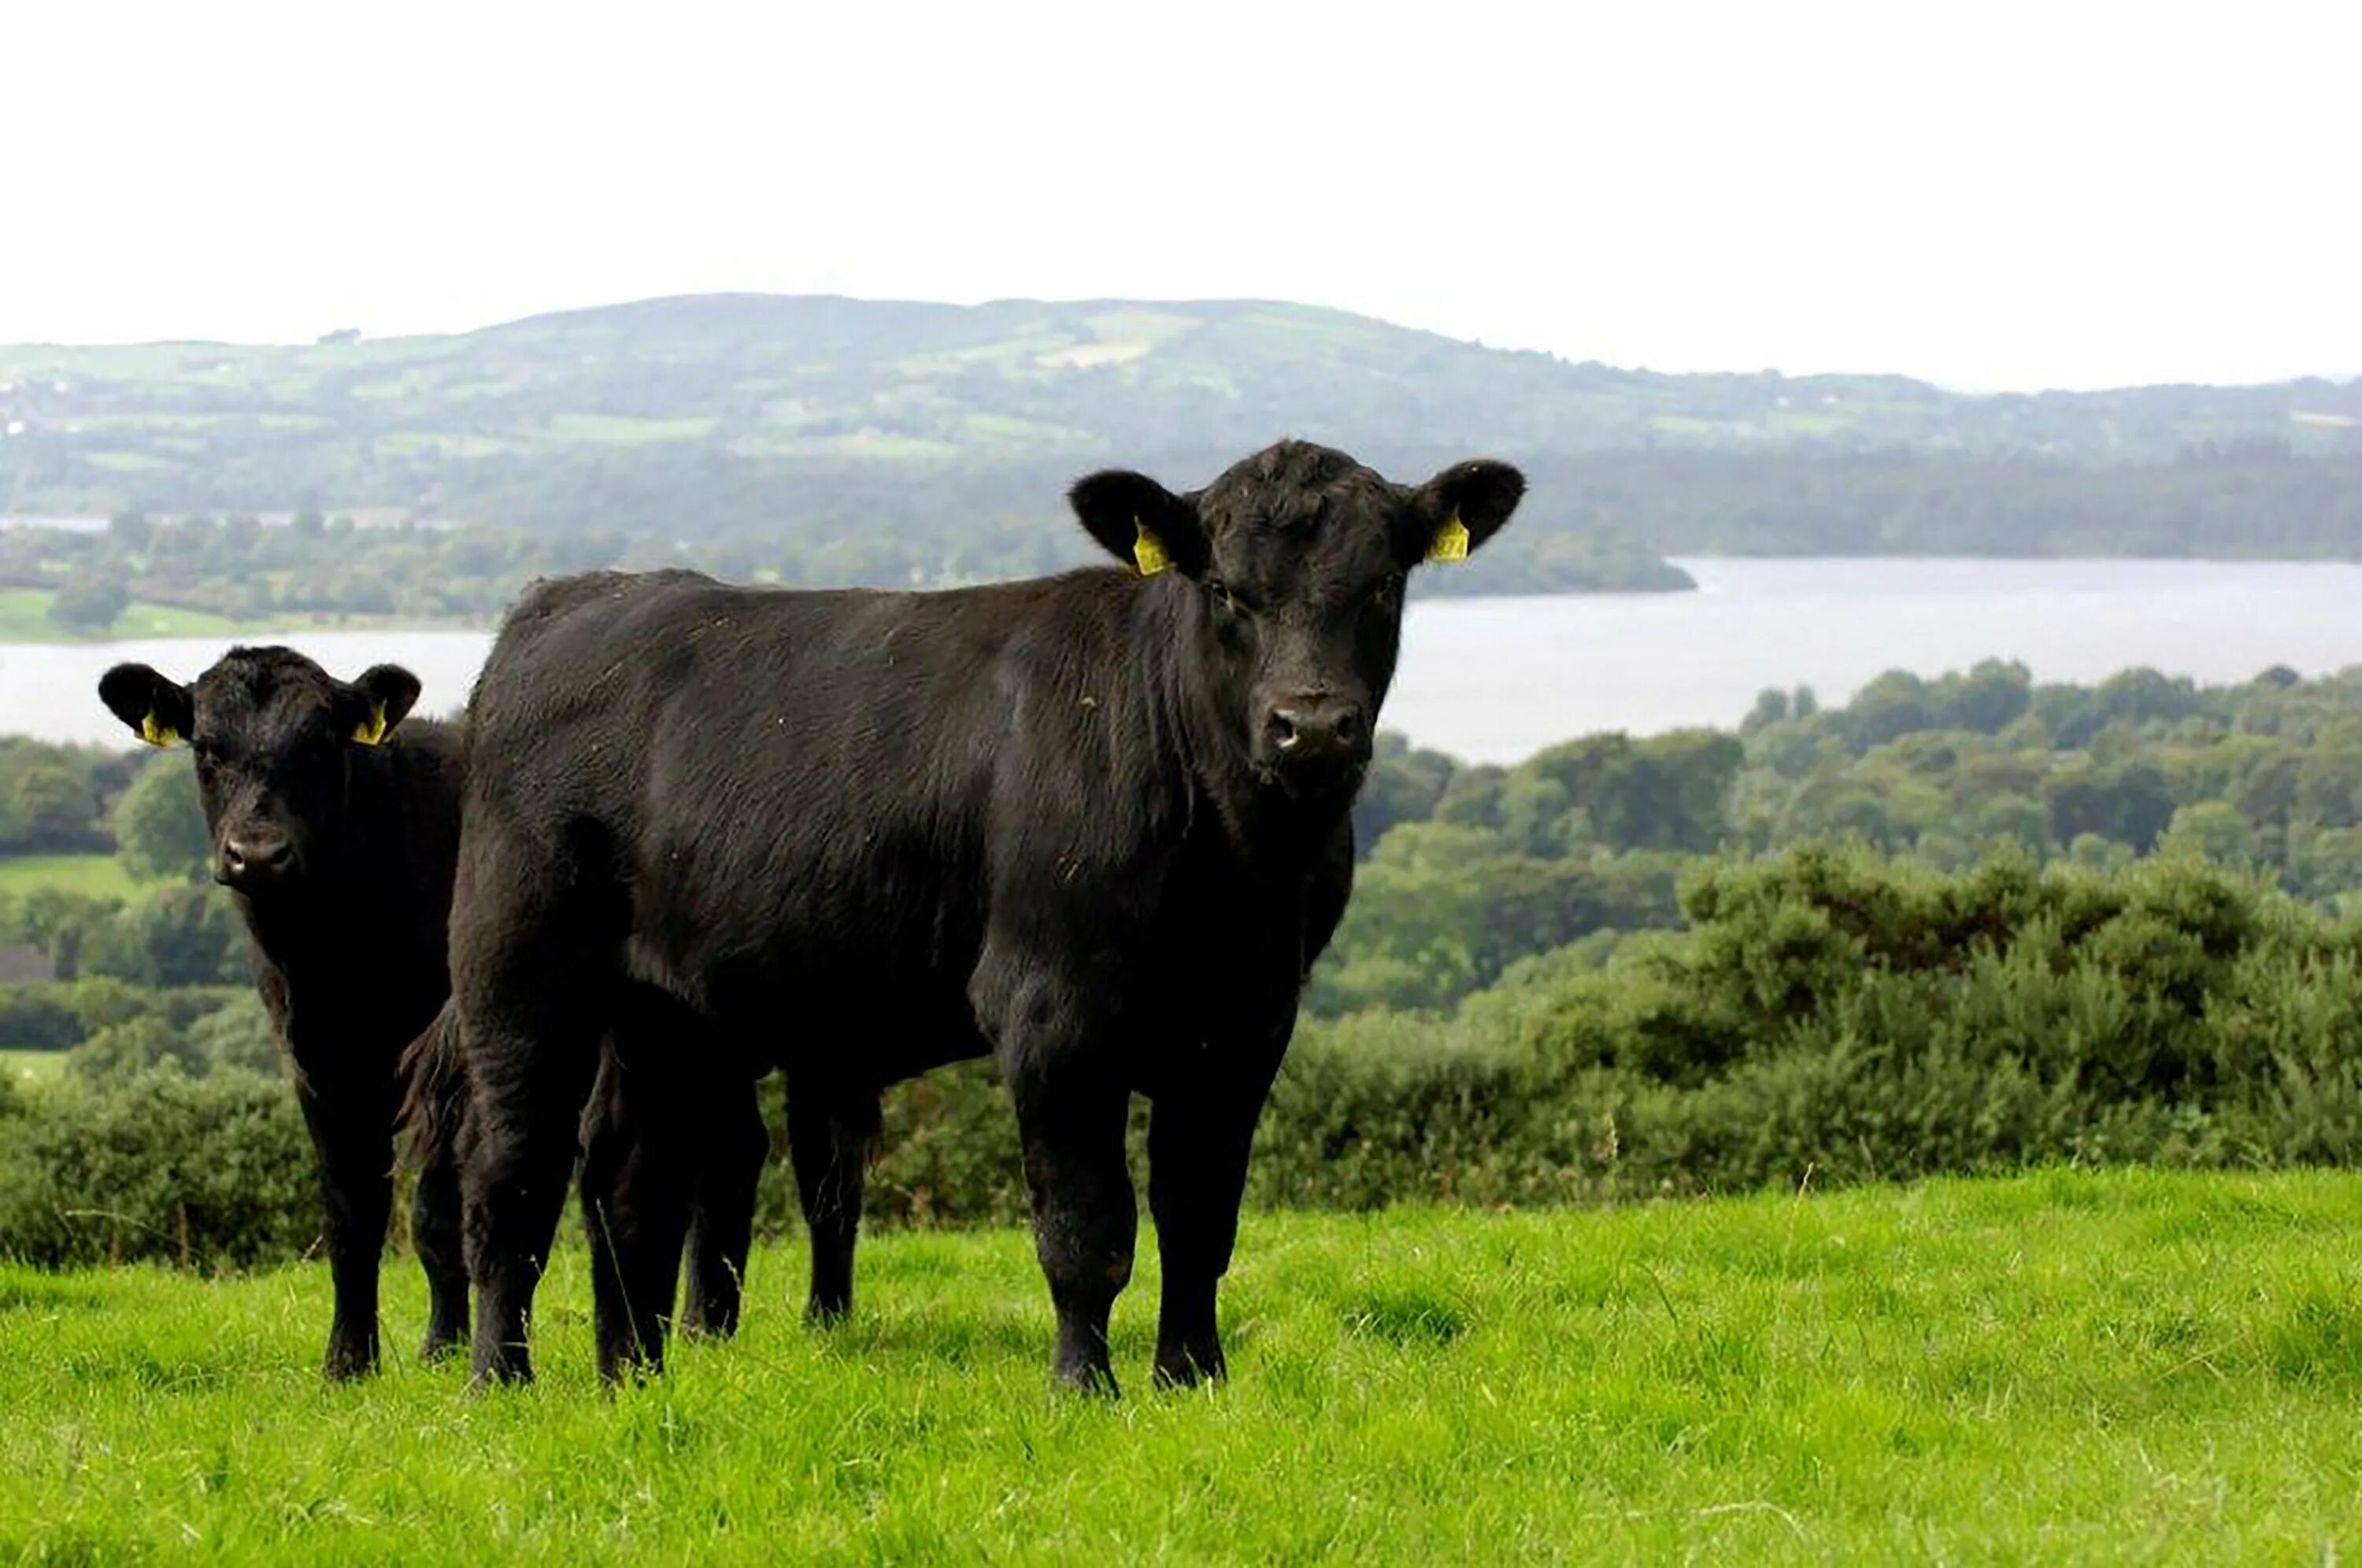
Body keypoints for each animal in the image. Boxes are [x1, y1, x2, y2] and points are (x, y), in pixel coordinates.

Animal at [94, 647, 765, 1370]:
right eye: (208, 748)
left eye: (318, 746)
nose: (258, 854)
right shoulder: (320, 1064)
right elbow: (352, 1214)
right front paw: (348, 1362)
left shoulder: (454, 1061)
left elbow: (436, 1219)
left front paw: (442, 1348)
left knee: (729, 1151)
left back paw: (705, 1327)